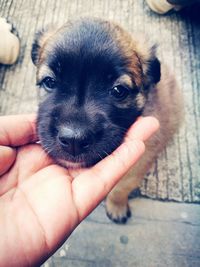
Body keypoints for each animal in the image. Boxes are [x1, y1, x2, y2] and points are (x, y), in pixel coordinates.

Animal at [30, 17, 183, 224]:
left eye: (119, 91)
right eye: (49, 82)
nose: (73, 140)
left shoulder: (136, 166)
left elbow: (120, 188)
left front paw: (116, 206)